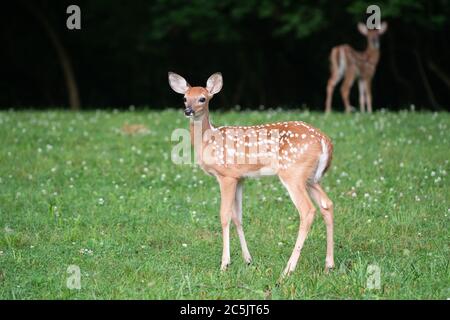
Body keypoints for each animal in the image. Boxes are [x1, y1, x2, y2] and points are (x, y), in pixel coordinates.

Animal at [169, 72, 334, 276]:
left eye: (203, 98)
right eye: (185, 98)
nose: (188, 110)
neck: (209, 141)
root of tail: (324, 141)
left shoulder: (227, 176)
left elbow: (224, 216)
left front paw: (224, 264)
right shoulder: (240, 177)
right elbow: (237, 217)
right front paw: (247, 260)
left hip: (293, 173)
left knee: (308, 210)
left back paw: (288, 269)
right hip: (310, 177)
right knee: (327, 205)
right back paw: (329, 265)